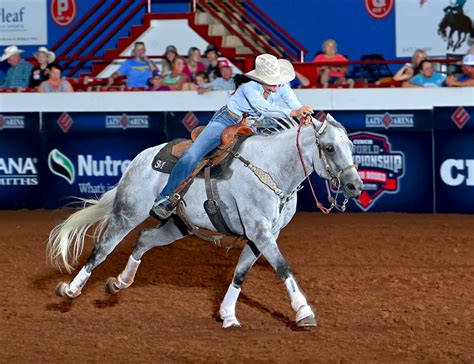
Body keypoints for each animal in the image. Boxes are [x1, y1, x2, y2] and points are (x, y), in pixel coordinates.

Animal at [47, 114, 362, 330]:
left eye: (350, 145)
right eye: (329, 148)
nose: (355, 186)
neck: (270, 167)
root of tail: (139, 160)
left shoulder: (262, 235)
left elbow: (240, 274)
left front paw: (228, 315)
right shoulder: (260, 232)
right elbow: (284, 267)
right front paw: (303, 311)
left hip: (177, 225)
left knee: (144, 239)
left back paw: (121, 282)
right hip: (128, 213)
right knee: (102, 249)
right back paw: (72, 289)